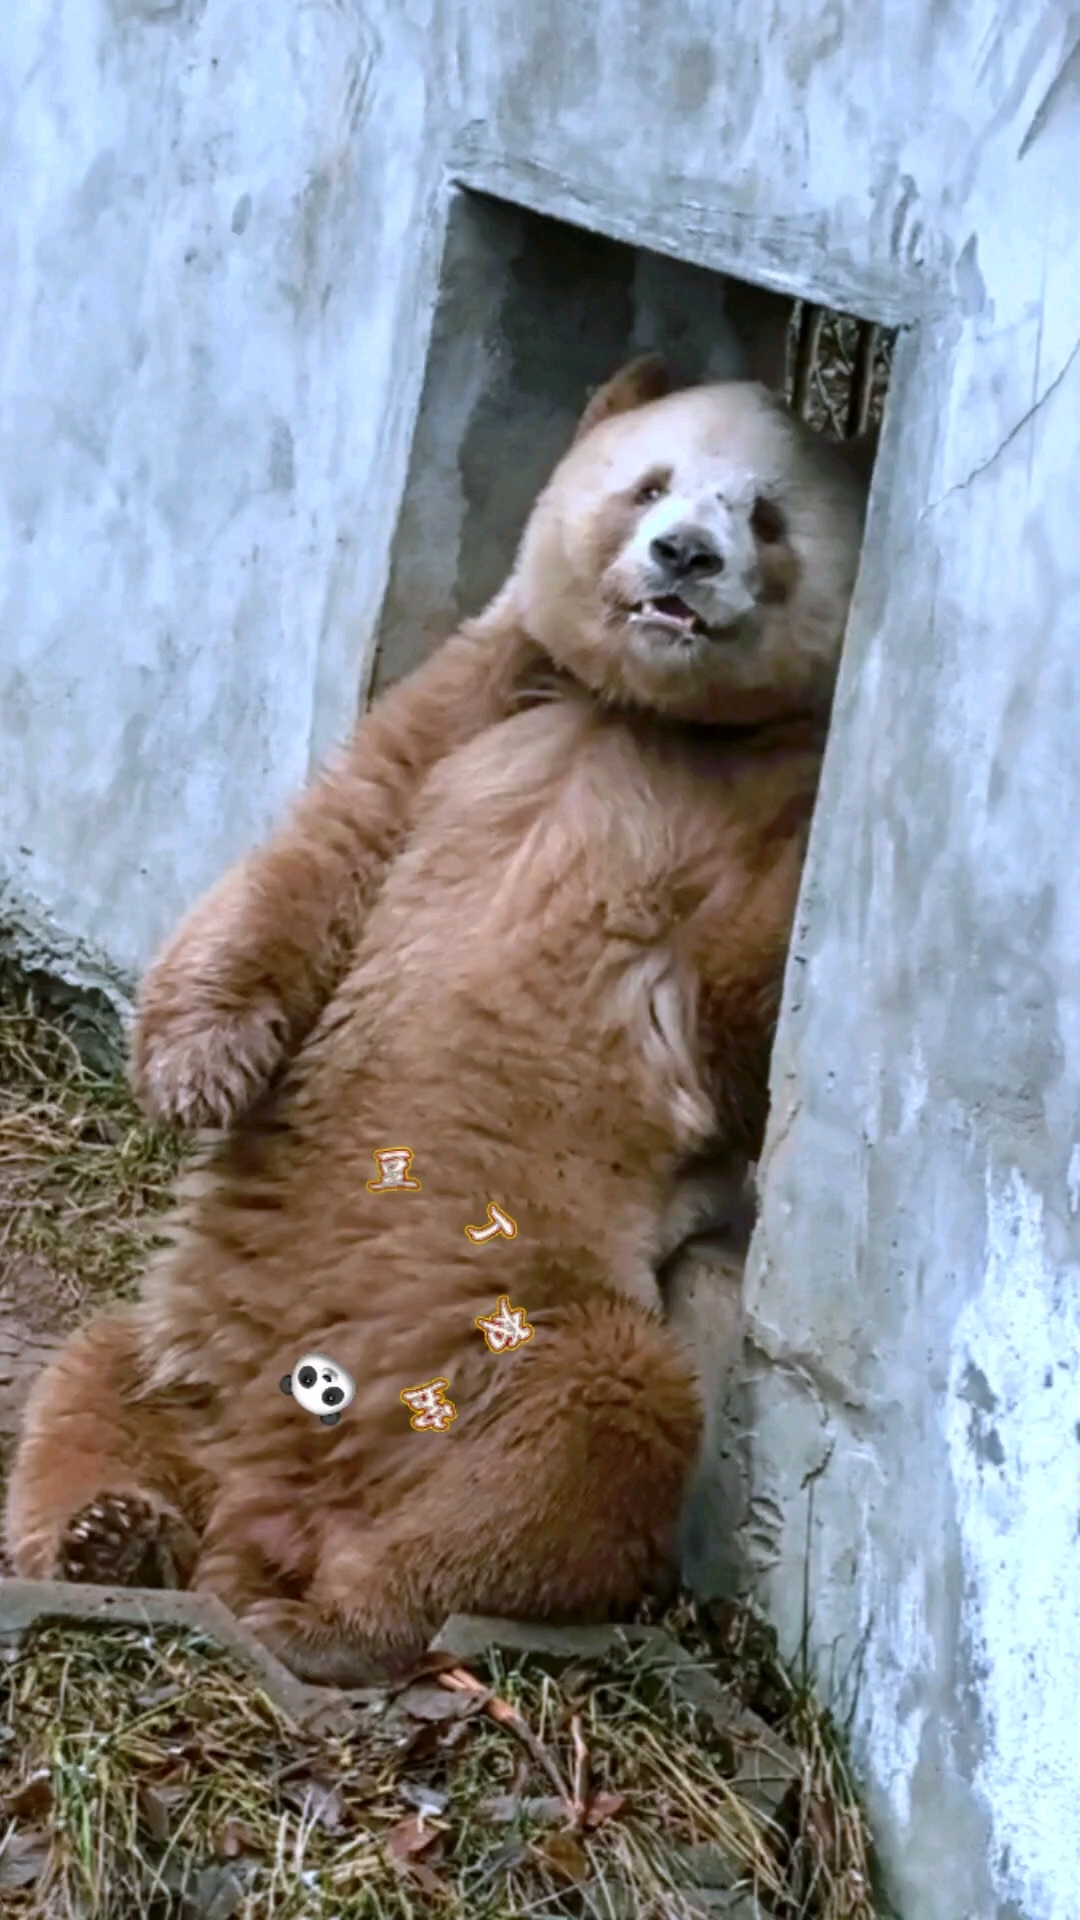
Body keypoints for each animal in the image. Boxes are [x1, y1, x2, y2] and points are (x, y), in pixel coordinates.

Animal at [5, 360, 869, 1684]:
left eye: (767, 518)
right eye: (651, 484)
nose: (683, 556)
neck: (651, 719)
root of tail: (273, 1499)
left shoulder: (749, 806)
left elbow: (747, 1011)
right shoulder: (484, 702)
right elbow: (333, 839)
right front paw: (194, 1071)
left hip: (523, 1336)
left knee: (580, 1440)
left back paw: (337, 1618)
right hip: (185, 1363)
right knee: (87, 1391)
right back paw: (114, 1538)